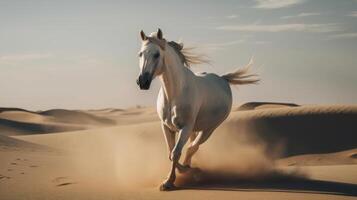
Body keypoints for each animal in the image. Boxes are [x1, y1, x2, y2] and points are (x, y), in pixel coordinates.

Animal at [136, 28, 258, 191]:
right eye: (140, 54)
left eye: (156, 54)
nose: (142, 81)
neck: (174, 93)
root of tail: (222, 79)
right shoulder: (166, 126)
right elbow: (170, 152)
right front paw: (172, 177)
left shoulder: (185, 128)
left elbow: (176, 153)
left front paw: (170, 182)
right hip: (194, 130)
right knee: (191, 148)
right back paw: (191, 169)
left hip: (208, 130)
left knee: (193, 148)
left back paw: (194, 170)